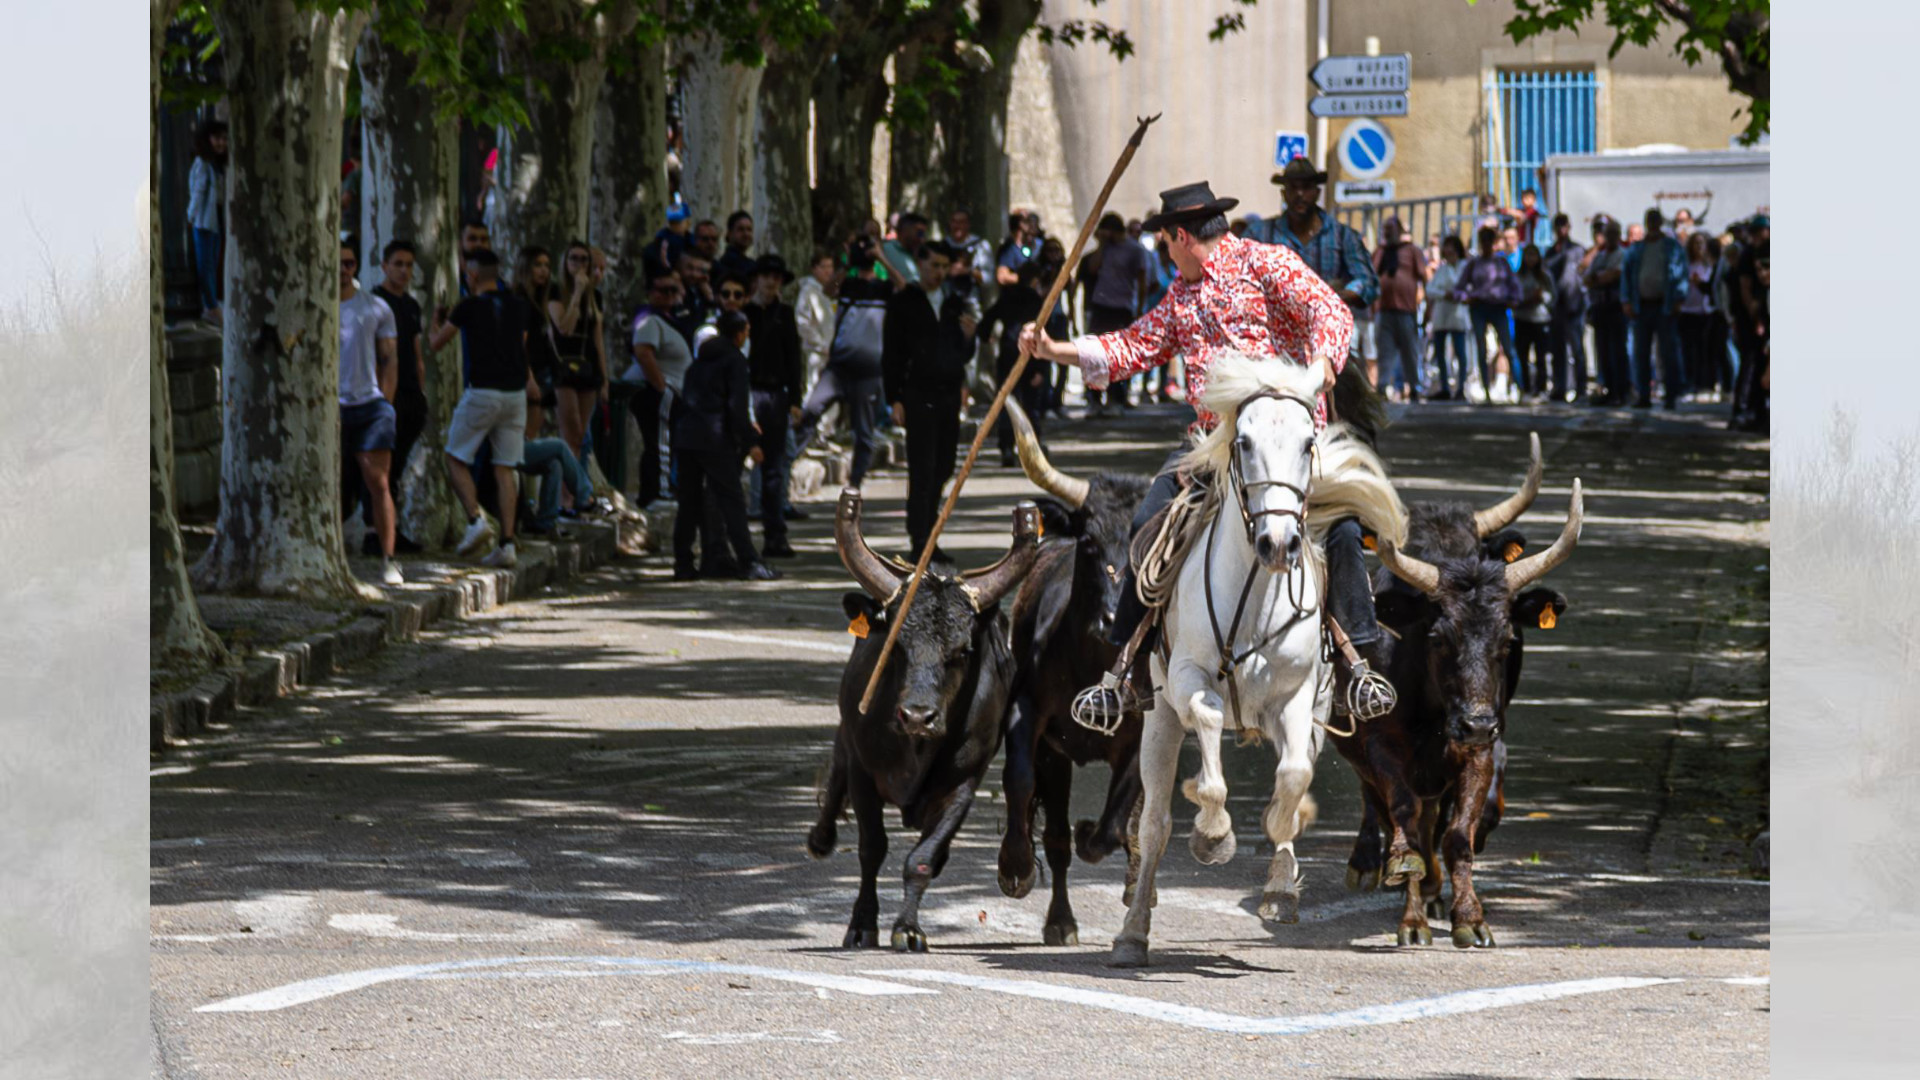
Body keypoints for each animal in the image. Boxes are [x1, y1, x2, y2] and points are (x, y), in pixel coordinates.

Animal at [814, 484, 1052, 945]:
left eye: (961, 651)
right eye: (896, 646)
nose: (917, 717)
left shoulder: (962, 786)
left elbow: (922, 858)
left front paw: (907, 928)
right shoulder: (863, 772)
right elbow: (871, 849)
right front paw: (862, 925)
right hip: (846, 738)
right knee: (835, 774)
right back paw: (820, 835)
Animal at [1113, 353, 1413, 968]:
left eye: (1308, 442)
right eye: (1244, 441)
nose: (1279, 543)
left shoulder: (1297, 702)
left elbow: (1293, 778)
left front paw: (1279, 877)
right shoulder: (1188, 681)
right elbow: (1207, 730)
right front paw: (1213, 833)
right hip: (1157, 718)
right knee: (1154, 824)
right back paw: (1133, 931)